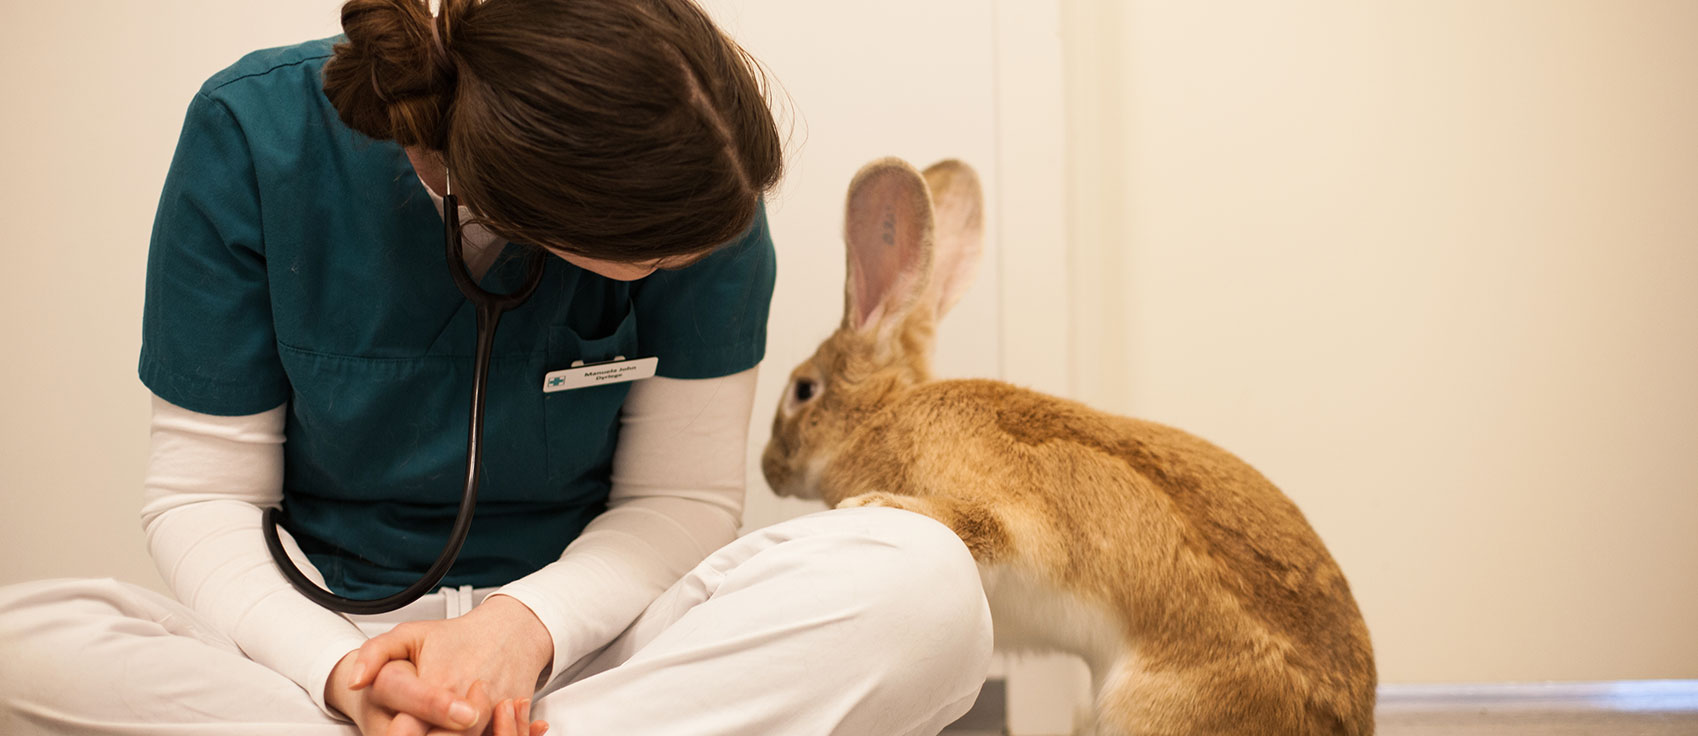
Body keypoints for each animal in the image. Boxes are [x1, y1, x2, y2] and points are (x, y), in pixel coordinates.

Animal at [764, 158, 1371, 730]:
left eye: (802, 390)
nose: (769, 468)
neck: (879, 416)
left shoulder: (1012, 519)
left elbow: (982, 524)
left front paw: (873, 503)